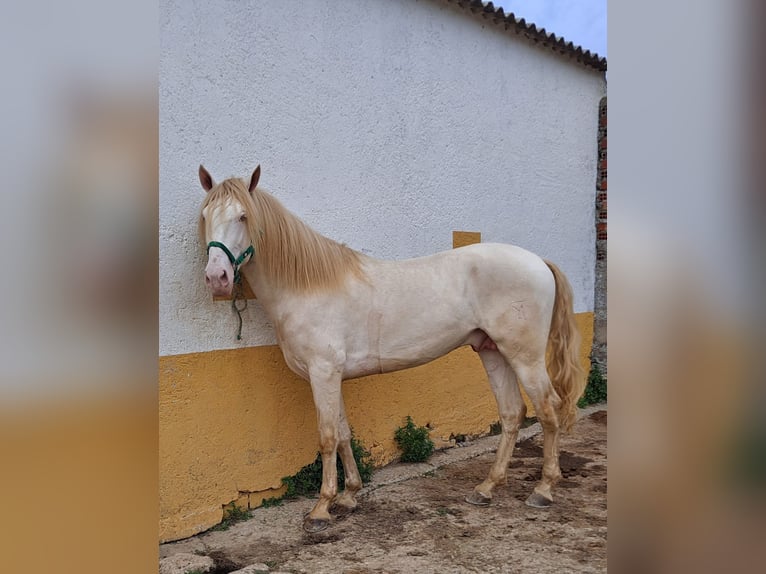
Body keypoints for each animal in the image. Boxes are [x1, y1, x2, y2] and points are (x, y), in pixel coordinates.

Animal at [197, 164, 585, 533]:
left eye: (243, 216)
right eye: (205, 216)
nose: (217, 278)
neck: (308, 286)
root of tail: (538, 261)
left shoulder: (323, 372)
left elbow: (327, 437)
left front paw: (321, 510)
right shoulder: (332, 375)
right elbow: (343, 434)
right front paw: (349, 497)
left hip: (525, 357)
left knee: (548, 409)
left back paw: (543, 490)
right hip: (493, 351)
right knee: (511, 412)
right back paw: (487, 488)